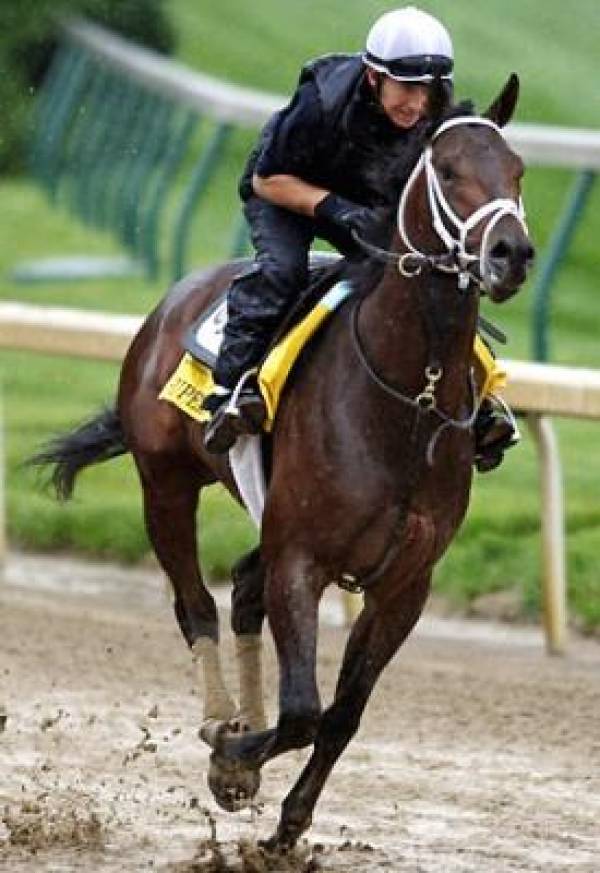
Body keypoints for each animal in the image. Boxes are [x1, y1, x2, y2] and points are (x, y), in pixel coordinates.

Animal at [36, 76, 536, 852]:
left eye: (517, 169)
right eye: (450, 170)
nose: (511, 252)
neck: (409, 398)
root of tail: (173, 302)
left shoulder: (404, 584)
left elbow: (341, 715)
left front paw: (286, 824)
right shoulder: (303, 558)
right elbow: (302, 709)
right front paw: (232, 761)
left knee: (244, 587)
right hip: (164, 485)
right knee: (197, 604)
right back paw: (222, 716)